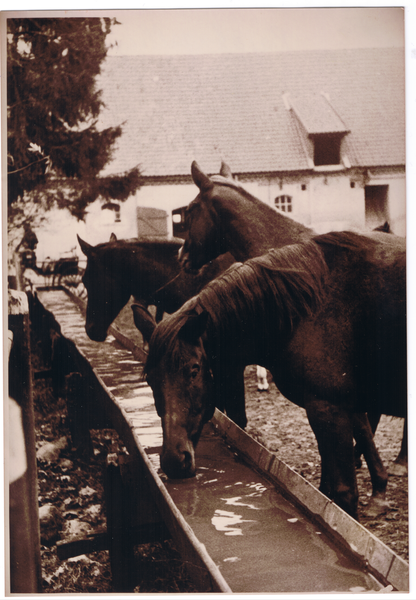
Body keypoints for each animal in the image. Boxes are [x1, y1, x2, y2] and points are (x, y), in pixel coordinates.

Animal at [144, 232, 406, 524]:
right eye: (150, 380)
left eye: (193, 370)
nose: (173, 461)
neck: (308, 309)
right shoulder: (330, 410)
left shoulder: (331, 410)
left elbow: (343, 495)